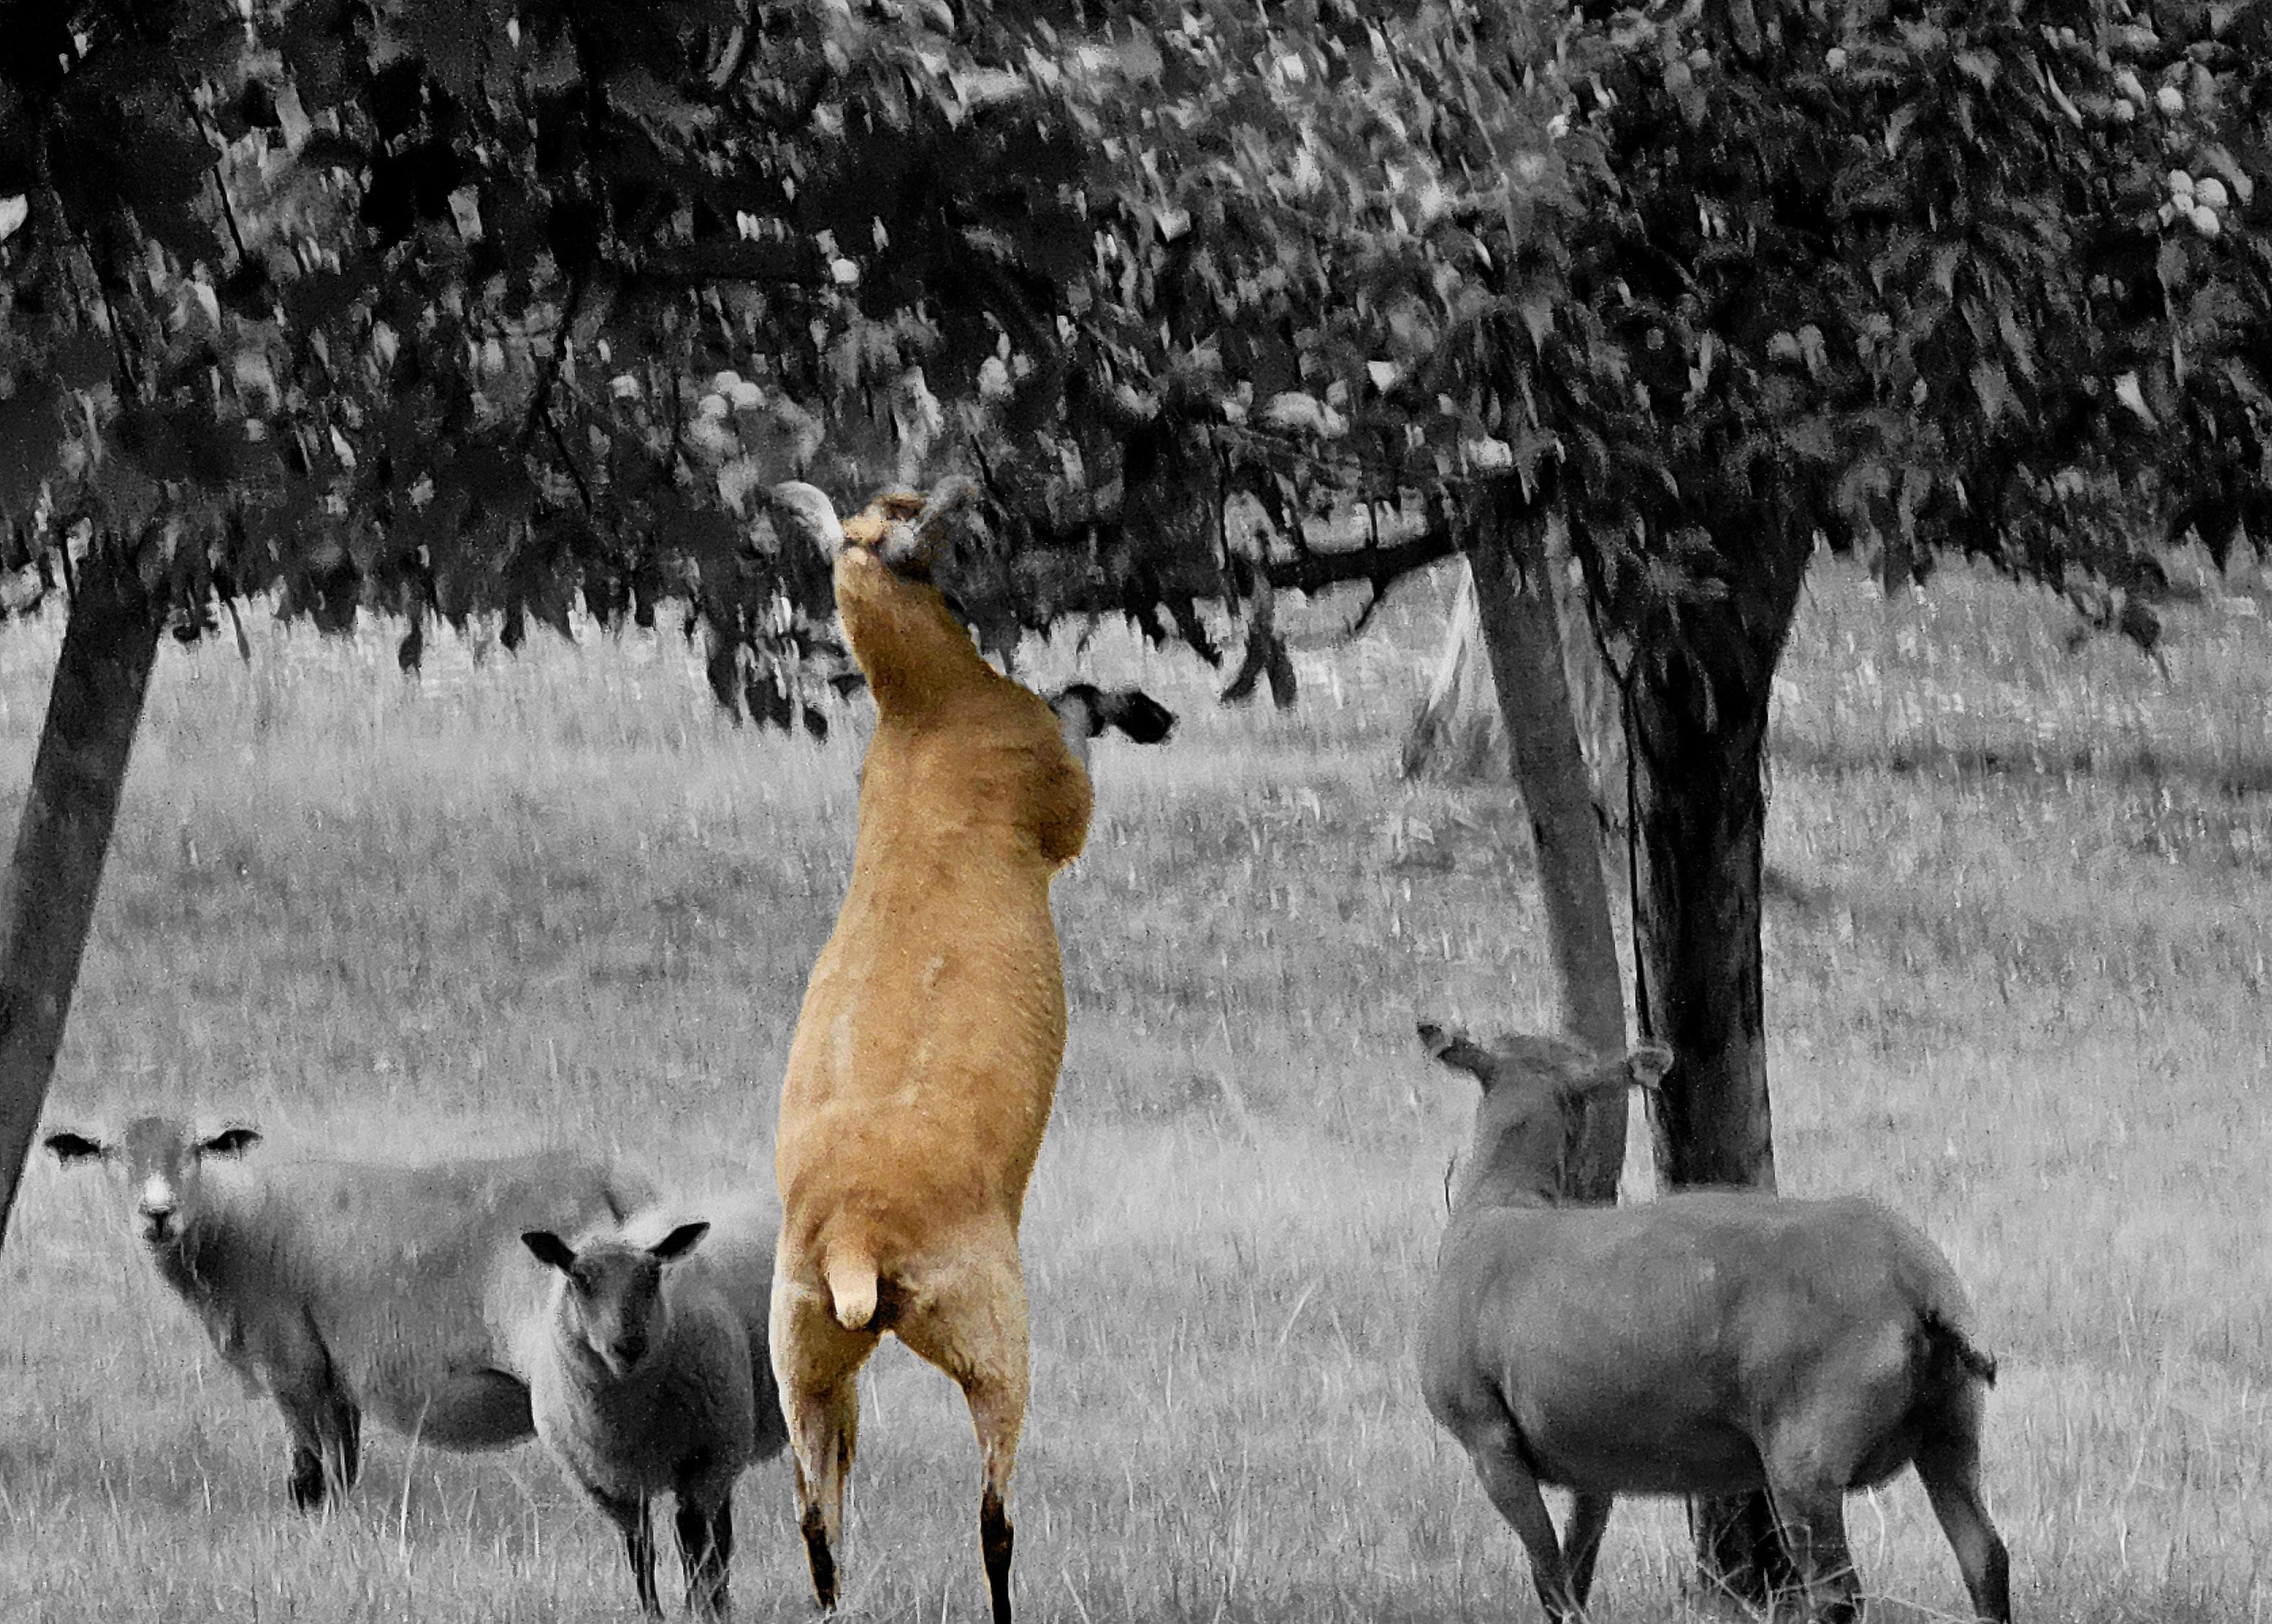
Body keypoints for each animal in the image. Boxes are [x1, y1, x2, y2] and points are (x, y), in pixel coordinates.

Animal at [43, 1115, 653, 1511]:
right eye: (112, 1155)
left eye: (196, 1151)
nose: (158, 1214)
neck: (236, 1227)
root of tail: (608, 1179)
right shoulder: (336, 1378)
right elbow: (343, 1467)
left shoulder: (293, 1367)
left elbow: (314, 1476)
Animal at [523, 1218, 759, 1619]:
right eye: (580, 1279)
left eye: (652, 1276)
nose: (629, 1346)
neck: (632, 1424)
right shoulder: (608, 1485)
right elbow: (640, 1548)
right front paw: (653, 1613)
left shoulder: (702, 1457)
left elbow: (692, 1537)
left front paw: (696, 1607)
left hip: (723, 1450)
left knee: (712, 1534)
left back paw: (714, 1602)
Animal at [762, 479, 1174, 1624]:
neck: (927, 711)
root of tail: (856, 1247)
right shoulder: (1059, 790)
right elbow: (1078, 714)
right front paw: (1137, 708)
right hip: (992, 1333)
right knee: (991, 1515)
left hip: (802, 1357)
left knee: (817, 1521)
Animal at [1414, 1023, 2011, 1624]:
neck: (1499, 1204)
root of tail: (1918, 1278)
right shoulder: (1592, 1456)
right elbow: (1575, 1572)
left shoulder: (1488, 1437)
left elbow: (1550, 1579)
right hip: (1951, 1423)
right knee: (1985, 1556)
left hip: (1807, 1449)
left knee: (1838, 1592)